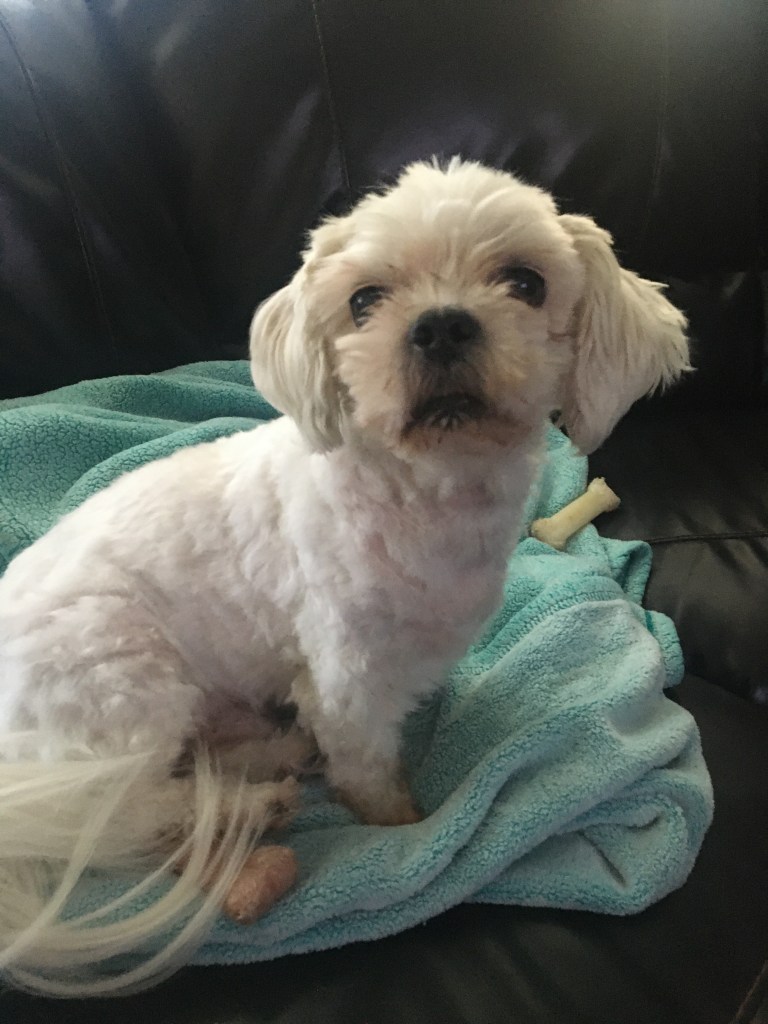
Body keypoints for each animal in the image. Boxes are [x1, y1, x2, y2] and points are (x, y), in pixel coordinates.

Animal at [0, 158, 689, 996]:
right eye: (364, 301)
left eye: (525, 283)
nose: (441, 324)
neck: (429, 495)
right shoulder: (347, 677)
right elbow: (367, 765)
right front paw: (400, 825)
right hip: (123, 675)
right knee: (110, 814)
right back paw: (249, 806)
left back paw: (271, 761)